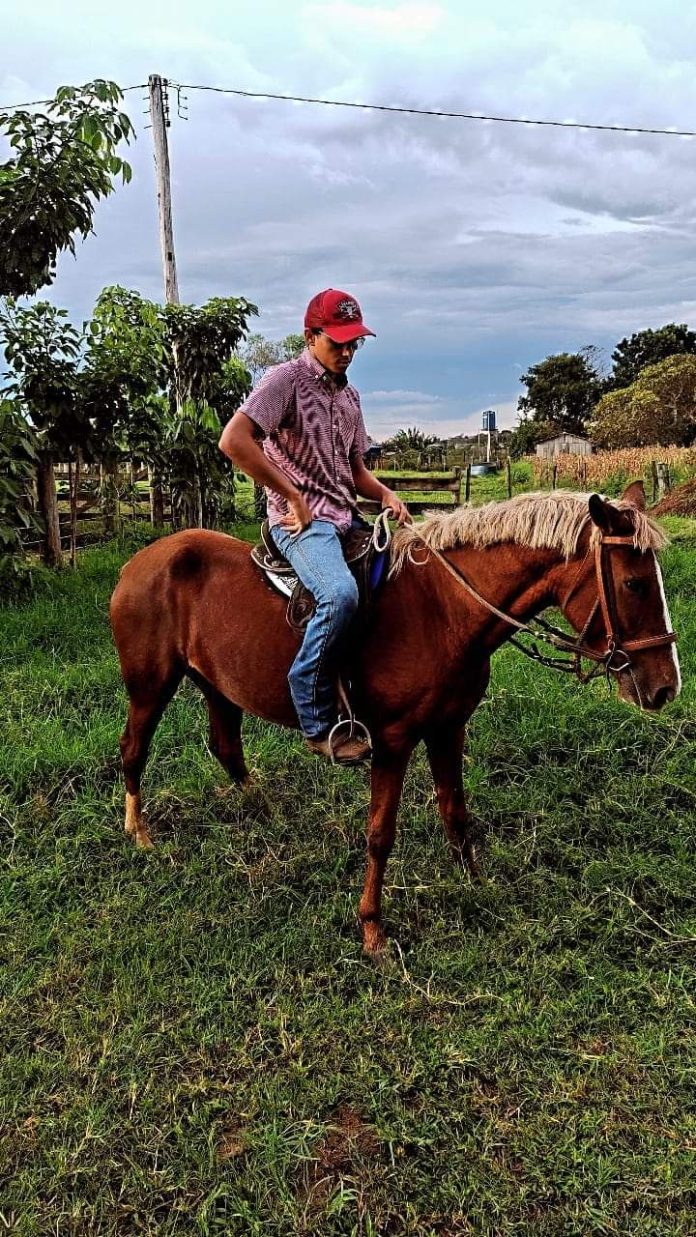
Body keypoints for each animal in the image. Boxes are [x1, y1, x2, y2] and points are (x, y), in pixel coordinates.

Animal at [110, 482, 680, 955]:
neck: (443, 611)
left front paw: (474, 884)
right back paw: (139, 832)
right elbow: (380, 834)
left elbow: (455, 812)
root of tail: (139, 562)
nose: (665, 686)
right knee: (134, 748)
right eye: (634, 584)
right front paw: (372, 930)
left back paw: (264, 809)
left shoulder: (448, 728)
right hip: (150, 685)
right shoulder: (393, 741)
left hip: (215, 683)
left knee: (226, 746)